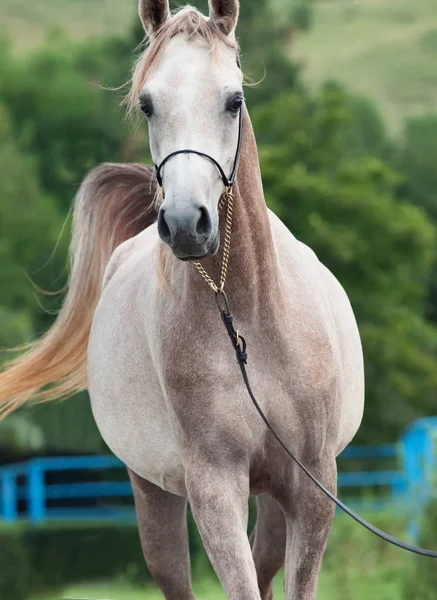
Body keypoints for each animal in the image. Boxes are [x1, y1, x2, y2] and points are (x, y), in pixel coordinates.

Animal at [0, 2, 362, 596]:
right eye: (147, 104)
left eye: (234, 99)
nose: (187, 223)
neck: (248, 322)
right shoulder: (213, 487)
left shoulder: (312, 487)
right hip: (153, 492)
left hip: (273, 500)